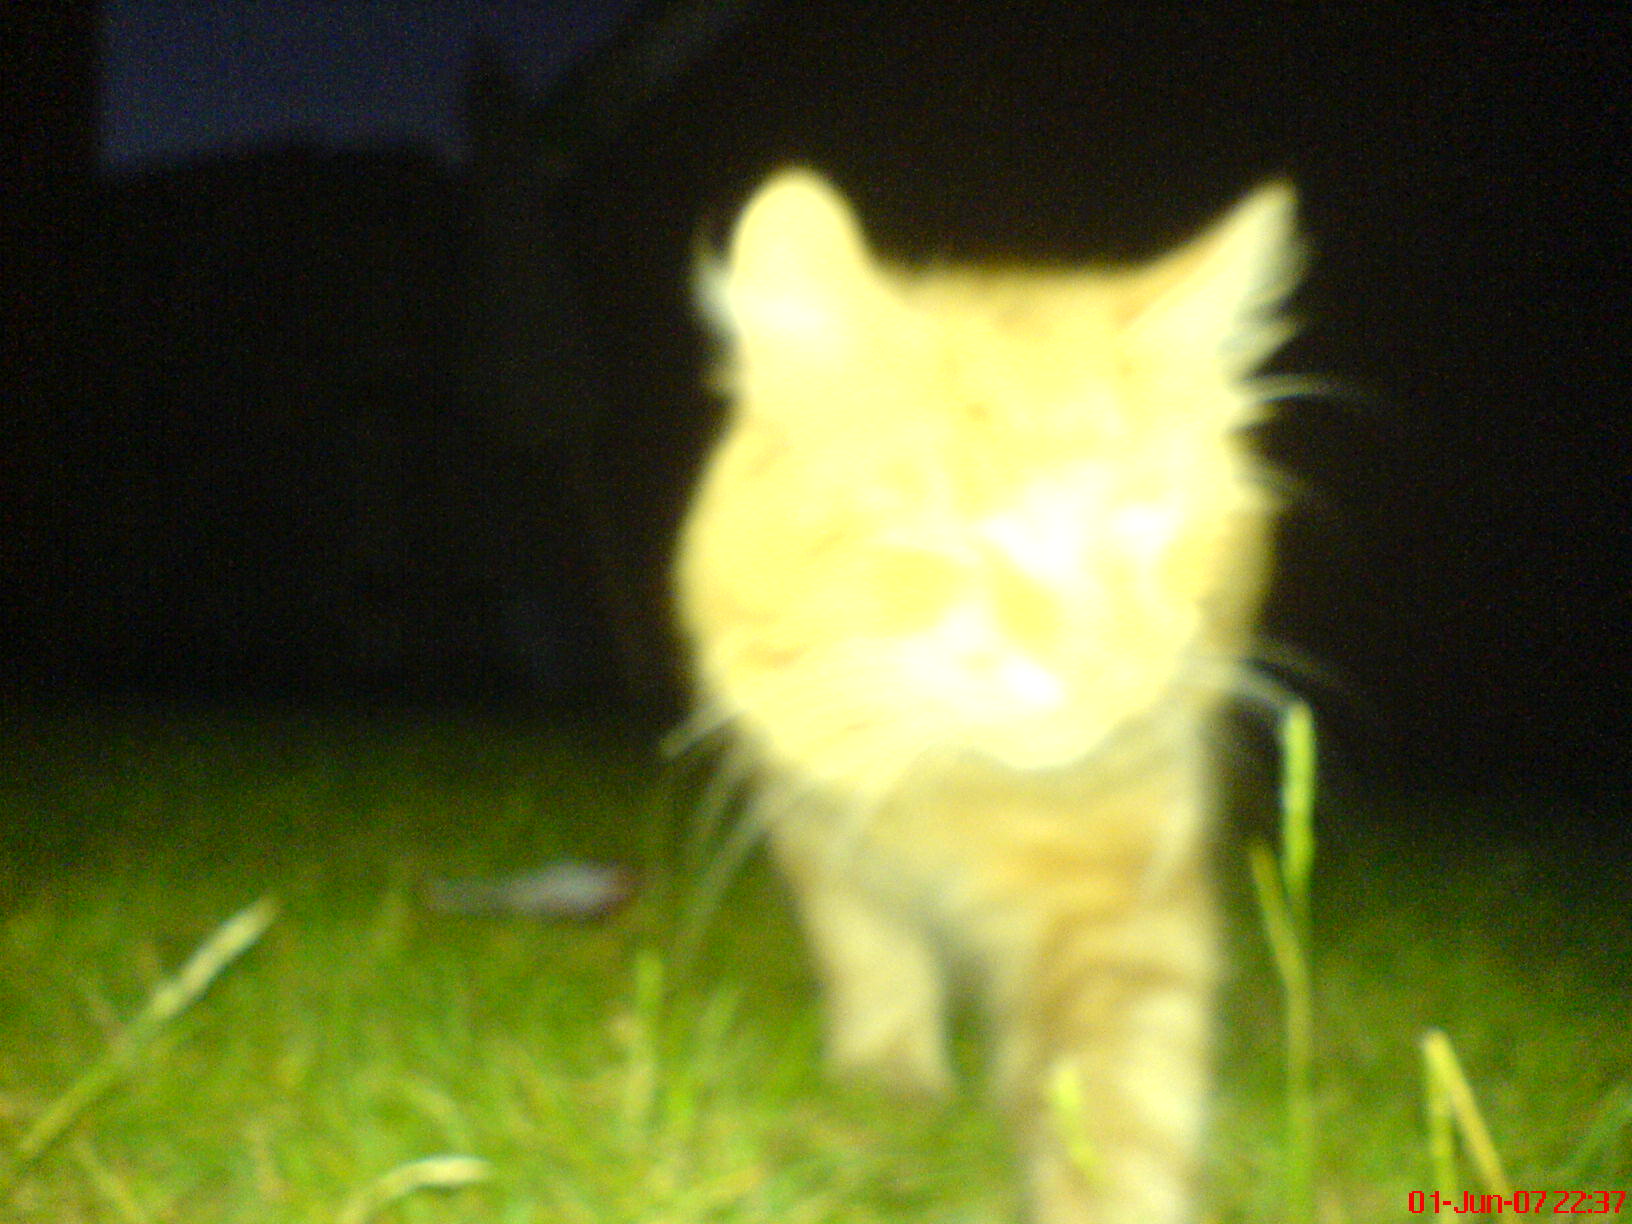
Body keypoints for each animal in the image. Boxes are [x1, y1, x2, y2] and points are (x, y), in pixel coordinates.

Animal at [672, 165, 1299, 1224]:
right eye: (948, 534)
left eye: (1146, 527)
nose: (1091, 661)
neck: (953, 791)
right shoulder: (817, 824)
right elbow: (873, 952)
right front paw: (890, 1074)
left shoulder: (1121, 900)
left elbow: (1115, 1100)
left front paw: (1107, 1193)